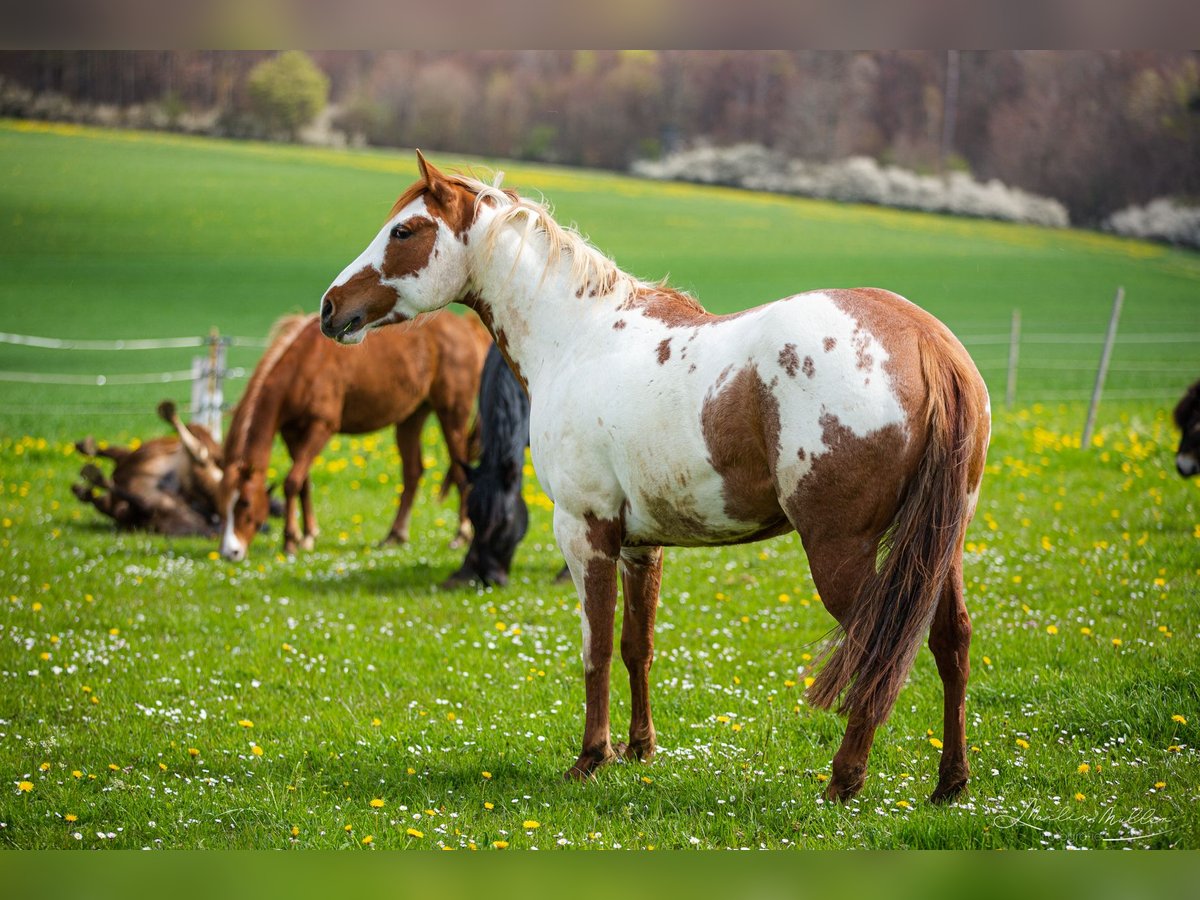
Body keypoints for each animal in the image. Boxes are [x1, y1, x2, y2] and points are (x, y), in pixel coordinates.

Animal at [217, 309, 491, 562]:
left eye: (245, 503)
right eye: (222, 506)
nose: (230, 552)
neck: (305, 364)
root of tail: (466, 326)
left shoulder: (321, 427)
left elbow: (292, 482)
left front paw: (291, 541)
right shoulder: (291, 433)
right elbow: (303, 483)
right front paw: (307, 535)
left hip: (452, 415)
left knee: (460, 473)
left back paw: (461, 535)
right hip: (411, 417)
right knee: (413, 472)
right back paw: (395, 534)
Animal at [318, 152, 992, 804]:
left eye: (405, 231)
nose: (329, 308)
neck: (580, 339)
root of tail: (926, 342)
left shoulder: (585, 531)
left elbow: (594, 649)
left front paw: (591, 757)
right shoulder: (642, 545)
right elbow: (634, 648)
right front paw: (639, 749)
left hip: (840, 549)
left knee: (878, 645)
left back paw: (844, 779)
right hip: (940, 547)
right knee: (950, 641)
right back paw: (950, 783)